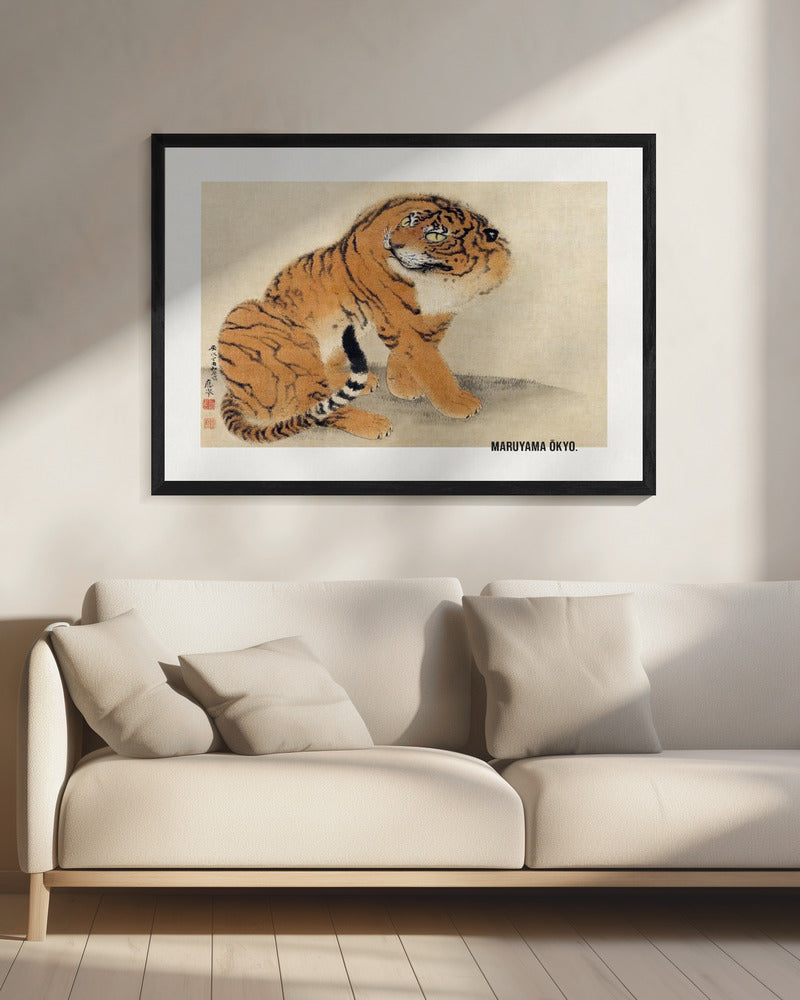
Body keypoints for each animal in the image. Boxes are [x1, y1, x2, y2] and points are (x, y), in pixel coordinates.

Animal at [217, 193, 511, 443]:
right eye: (408, 222)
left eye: (436, 235)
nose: (393, 243)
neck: (442, 279)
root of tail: (234, 392)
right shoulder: (397, 317)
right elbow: (429, 363)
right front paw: (458, 402)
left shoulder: (439, 315)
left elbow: (418, 354)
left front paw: (402, 385)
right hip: (270, 330)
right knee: (314, 406)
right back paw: (374, 424)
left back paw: (365, 381)